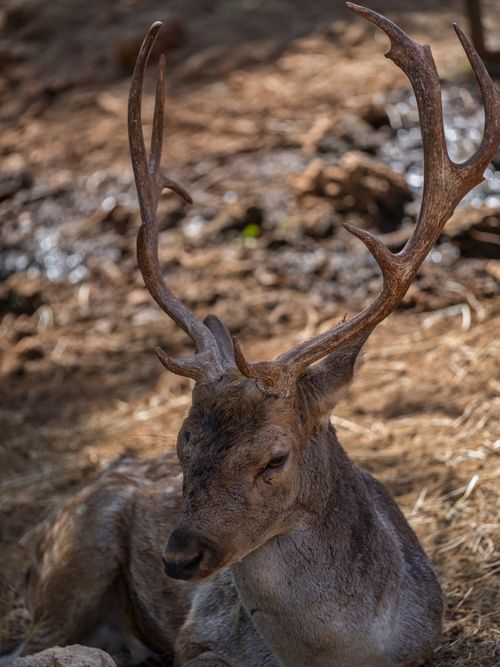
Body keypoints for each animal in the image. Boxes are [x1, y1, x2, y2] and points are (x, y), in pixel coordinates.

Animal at [3, 3, 500, 667]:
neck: (328, 653)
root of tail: (38, 532)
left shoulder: (424, 643)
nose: (179, 556)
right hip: (75, 554)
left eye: (274, 459)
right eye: (182, 444)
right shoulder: (198, 639)